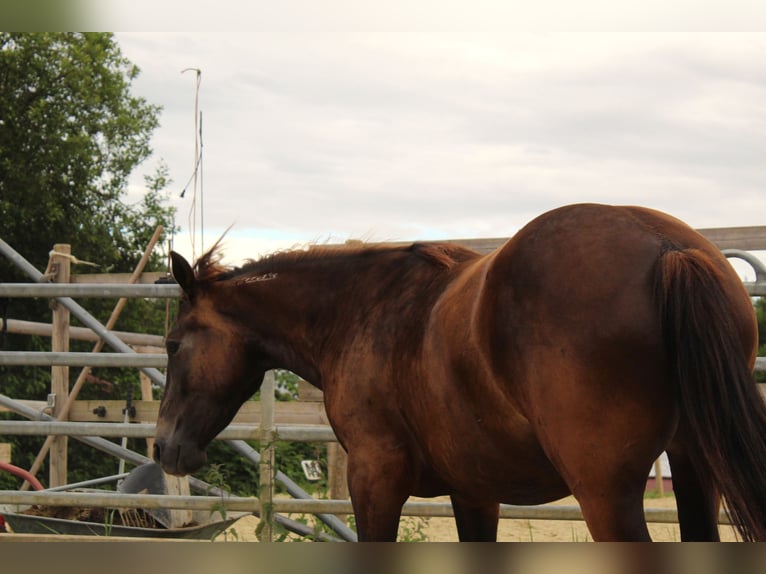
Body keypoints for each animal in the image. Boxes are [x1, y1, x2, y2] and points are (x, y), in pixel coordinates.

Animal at [153, 205, 766, 544]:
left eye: (173, 343)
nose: (163, 448)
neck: (360, 307)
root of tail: (668, 248)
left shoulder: (374, 480)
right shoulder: (475, 492)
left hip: (606, 495)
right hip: (694, 471)